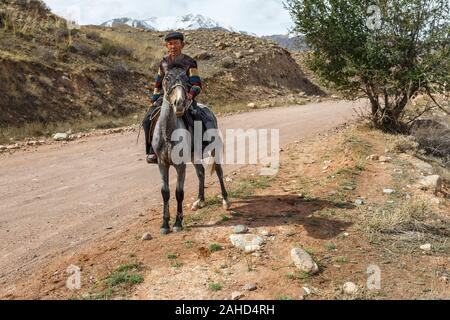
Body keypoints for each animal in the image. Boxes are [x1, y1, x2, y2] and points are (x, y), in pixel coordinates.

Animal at [152, 64, 230, 235]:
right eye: (166, 78)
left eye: (185, 79)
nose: (179, 103)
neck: (168, 132)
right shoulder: (162, 163)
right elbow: (165, 192)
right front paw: (165, 224)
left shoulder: (180, 165)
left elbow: (179, 193)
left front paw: (178, 223)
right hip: (194, 155)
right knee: (201, 173)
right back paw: (199, 201)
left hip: (215, 151)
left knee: (219, 172)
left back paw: (226, 200)